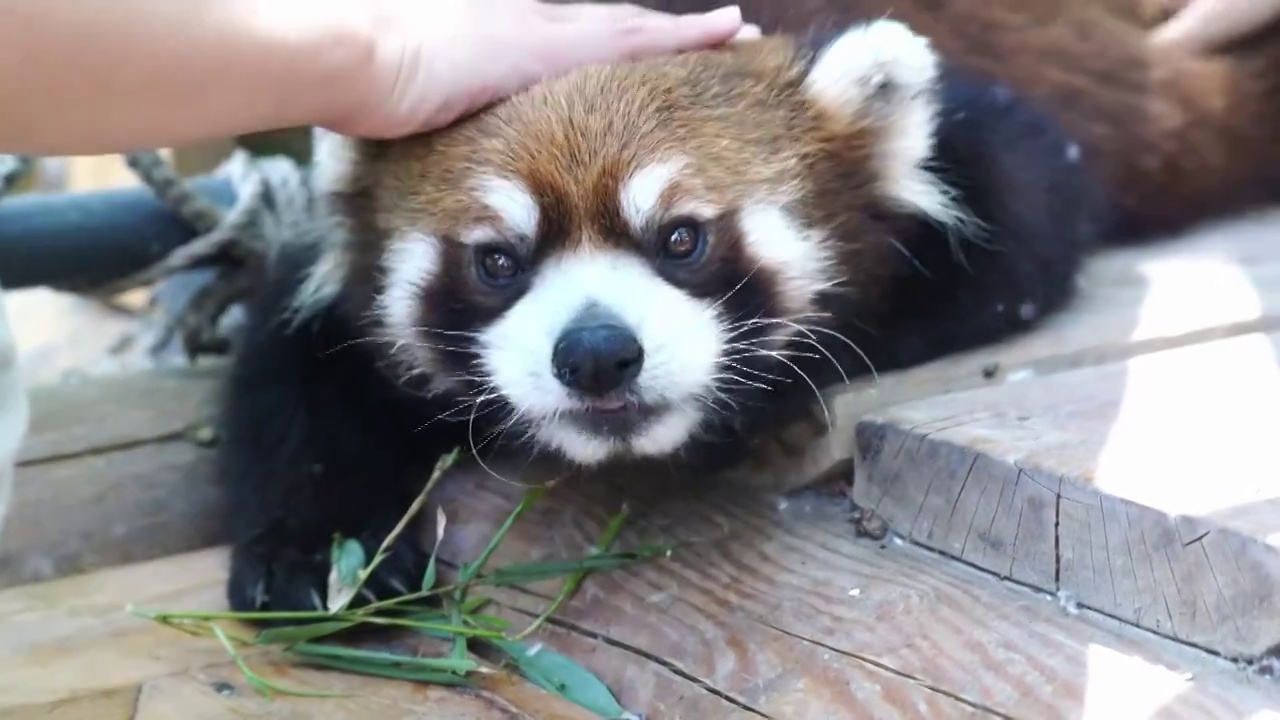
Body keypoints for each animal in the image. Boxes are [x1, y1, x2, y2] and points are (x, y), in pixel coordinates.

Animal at [212, 14, 1269, 614]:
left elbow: (1026, 223)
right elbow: (295, 390)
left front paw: (768, 387)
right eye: (498, 261)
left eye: (682, 238)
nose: (596, 354)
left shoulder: (1003, 154)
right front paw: (313, 551)